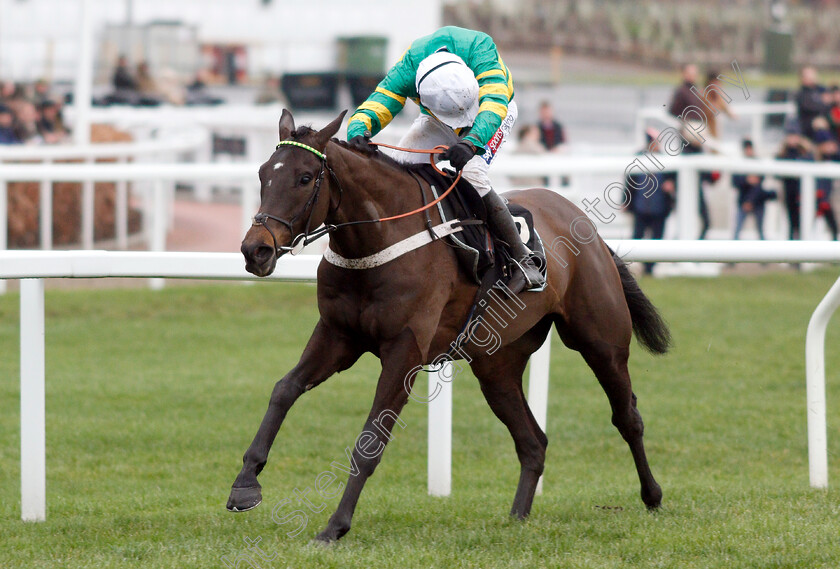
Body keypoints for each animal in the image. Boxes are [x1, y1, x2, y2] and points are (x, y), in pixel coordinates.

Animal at [228, 110, 668, 540]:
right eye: (263, 174)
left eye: (305, 178)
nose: (255, 249)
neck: (379, 239)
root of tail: (583, 222)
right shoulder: (337, 335)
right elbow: (284, 390)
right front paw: (245, 484)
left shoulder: (405, 351)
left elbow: (371, 439)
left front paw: (335, 526)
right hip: (497, 366)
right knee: (533, 442)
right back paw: (517, 518)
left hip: (601, 342)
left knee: (627, 418)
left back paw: (652, 496)